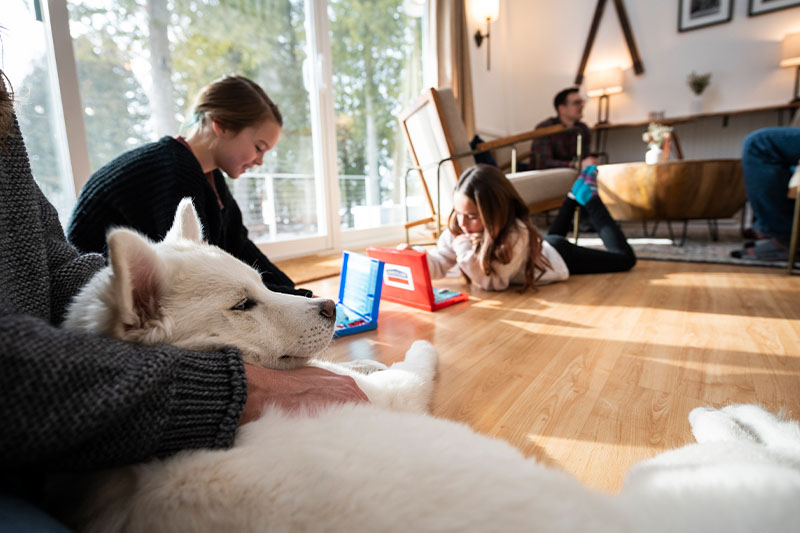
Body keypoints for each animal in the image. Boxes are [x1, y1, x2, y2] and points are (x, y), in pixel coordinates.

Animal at [61, 201, 800, 532]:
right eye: (244, 304)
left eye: (259, 283)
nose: (330, 303)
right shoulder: (393, 394)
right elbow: (412, 364)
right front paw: (419, 346)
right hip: (679, 471)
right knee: (754, 440)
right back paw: (724, 410)